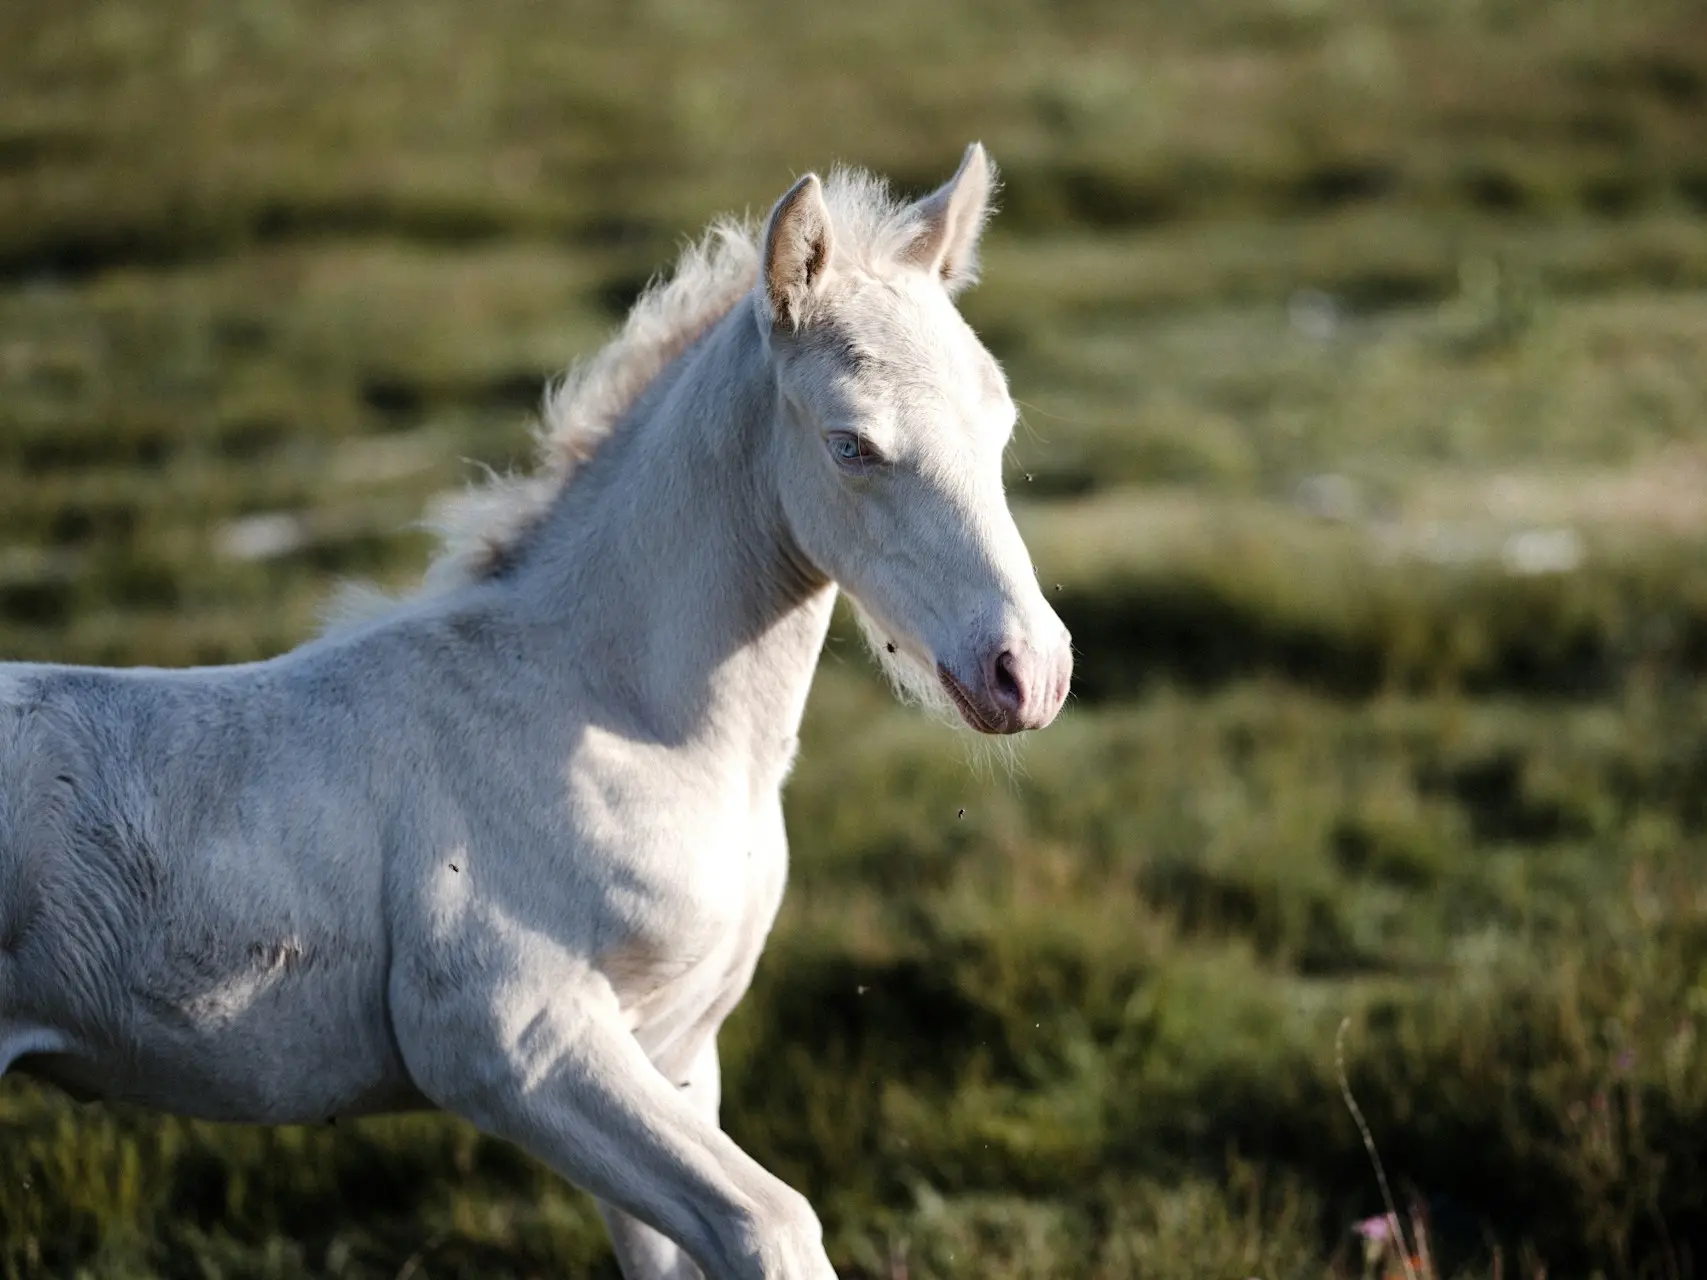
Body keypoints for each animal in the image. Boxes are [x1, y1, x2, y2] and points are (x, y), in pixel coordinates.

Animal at [0, 145, 1065, 1276]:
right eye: (851, 444)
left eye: (999, 422)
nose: (1027, 672)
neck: (613, 720)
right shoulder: (513, 1043)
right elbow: (770, 1222)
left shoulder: (671, 1049)